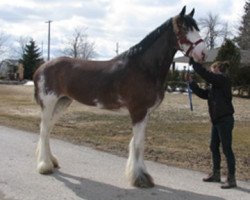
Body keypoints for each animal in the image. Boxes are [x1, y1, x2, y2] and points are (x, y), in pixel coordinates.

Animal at [33, 5, 209, 188]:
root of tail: (42, 68)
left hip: (62, 102)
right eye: (183, 29)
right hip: (49, 103)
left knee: (48, 129)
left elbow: (139, 142)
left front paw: (141, 174)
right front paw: (140, 178)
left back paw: (51, 161)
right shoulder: (138, 111)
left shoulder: (145, 113)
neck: (143, 67)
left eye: (197, 28)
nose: (203, 53)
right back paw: (45, 166)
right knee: (44, 129)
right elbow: (138, 144)